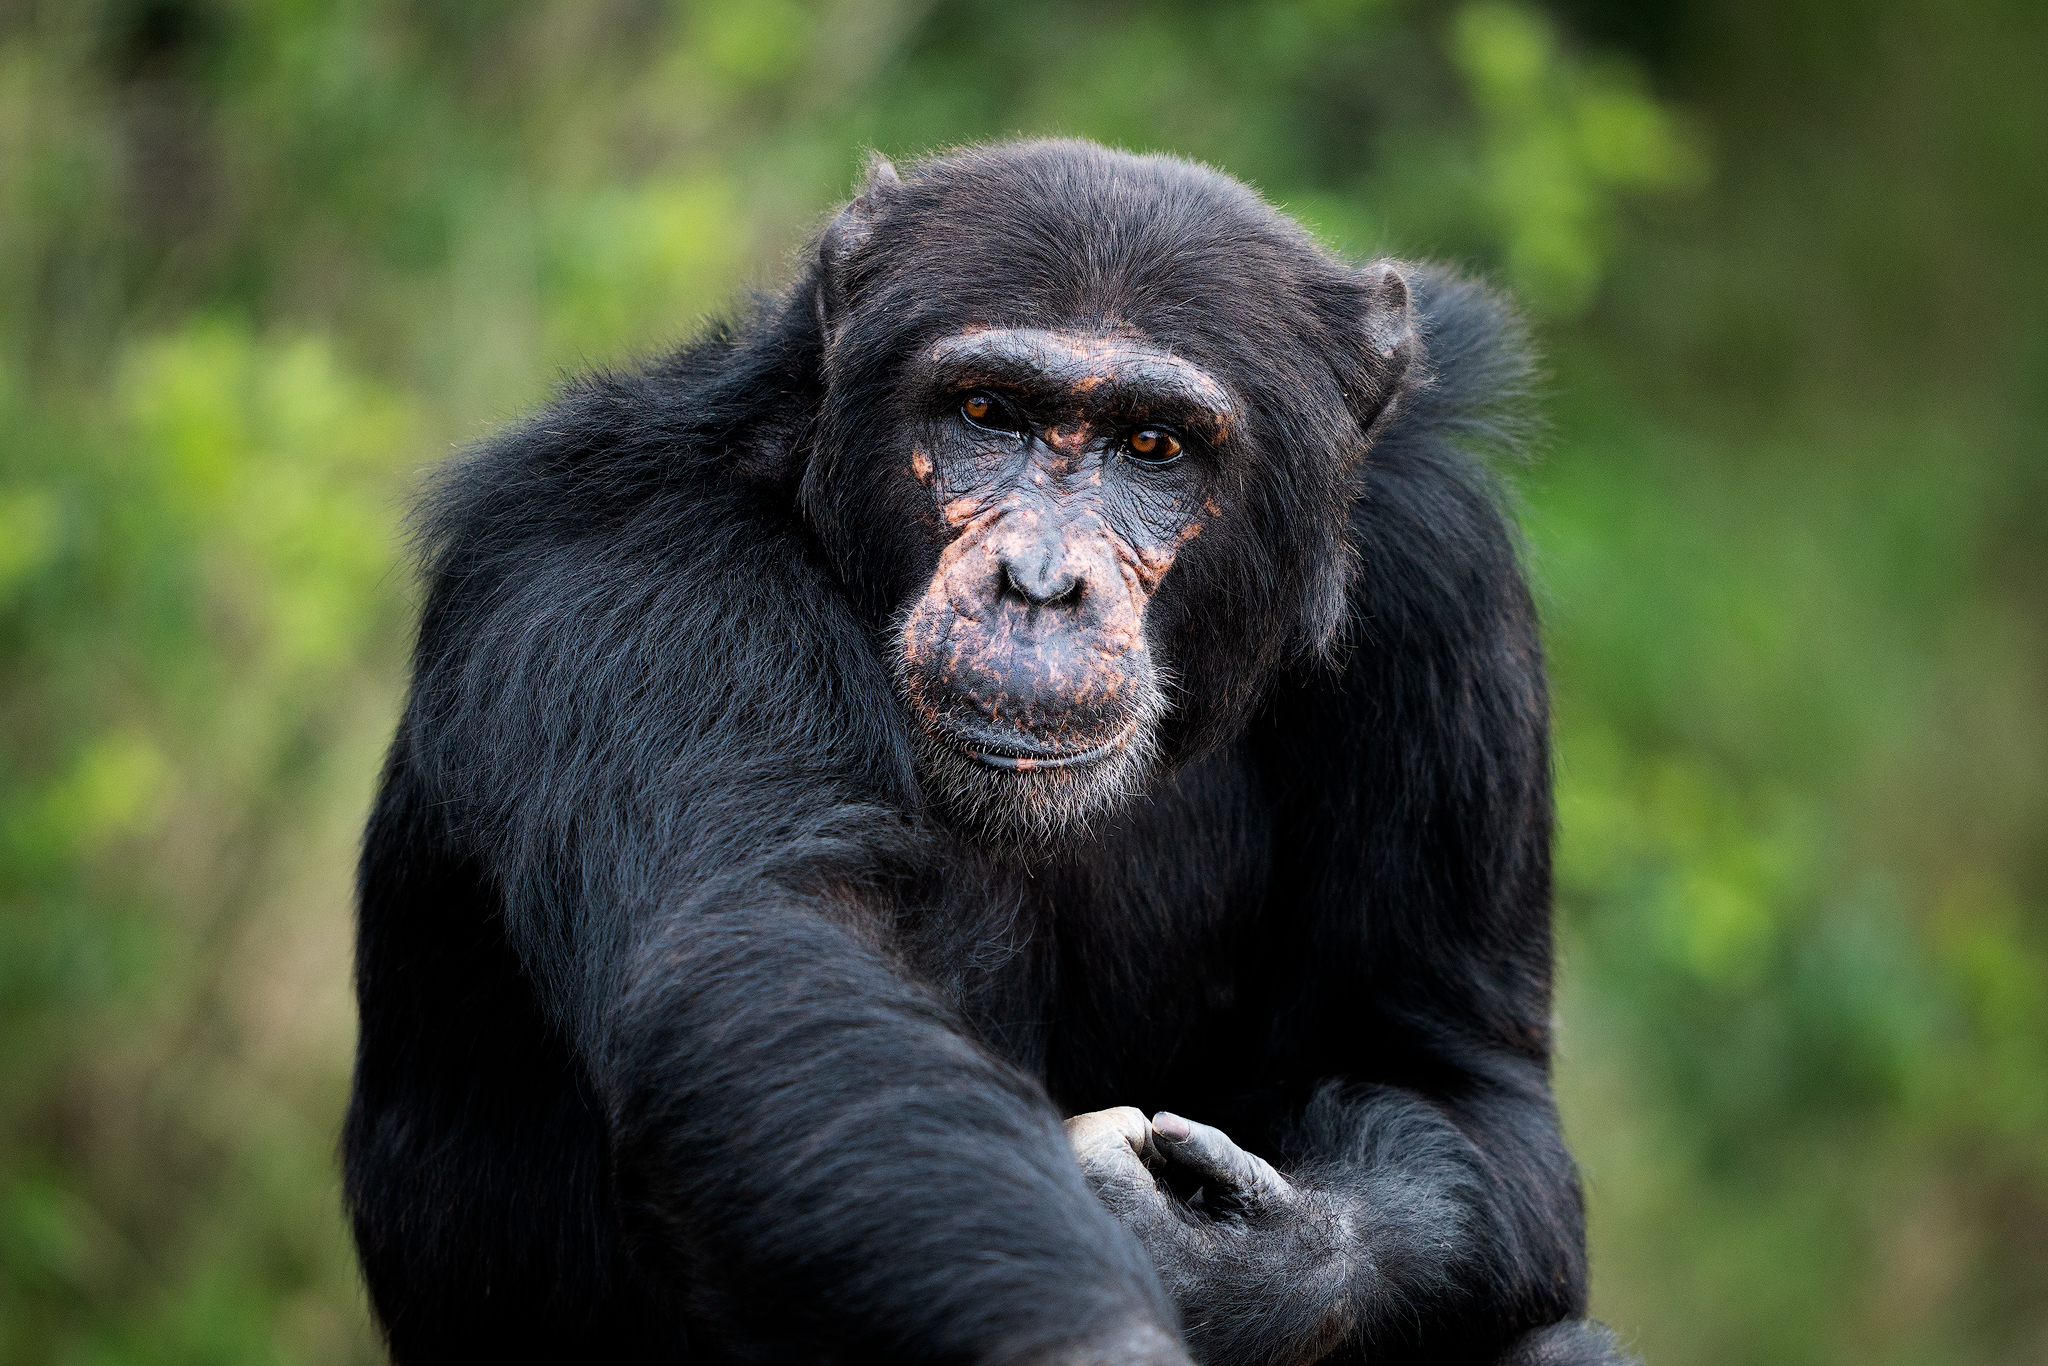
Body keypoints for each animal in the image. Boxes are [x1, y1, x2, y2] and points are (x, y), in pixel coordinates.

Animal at [348, 139, 1630, 1366]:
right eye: (983, 415)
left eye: (1153, 446)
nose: (1039, 581)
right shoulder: (637, 569)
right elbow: (765, 962)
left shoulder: (1439, 563)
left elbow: (1454, 1072)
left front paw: (1245, 1264)